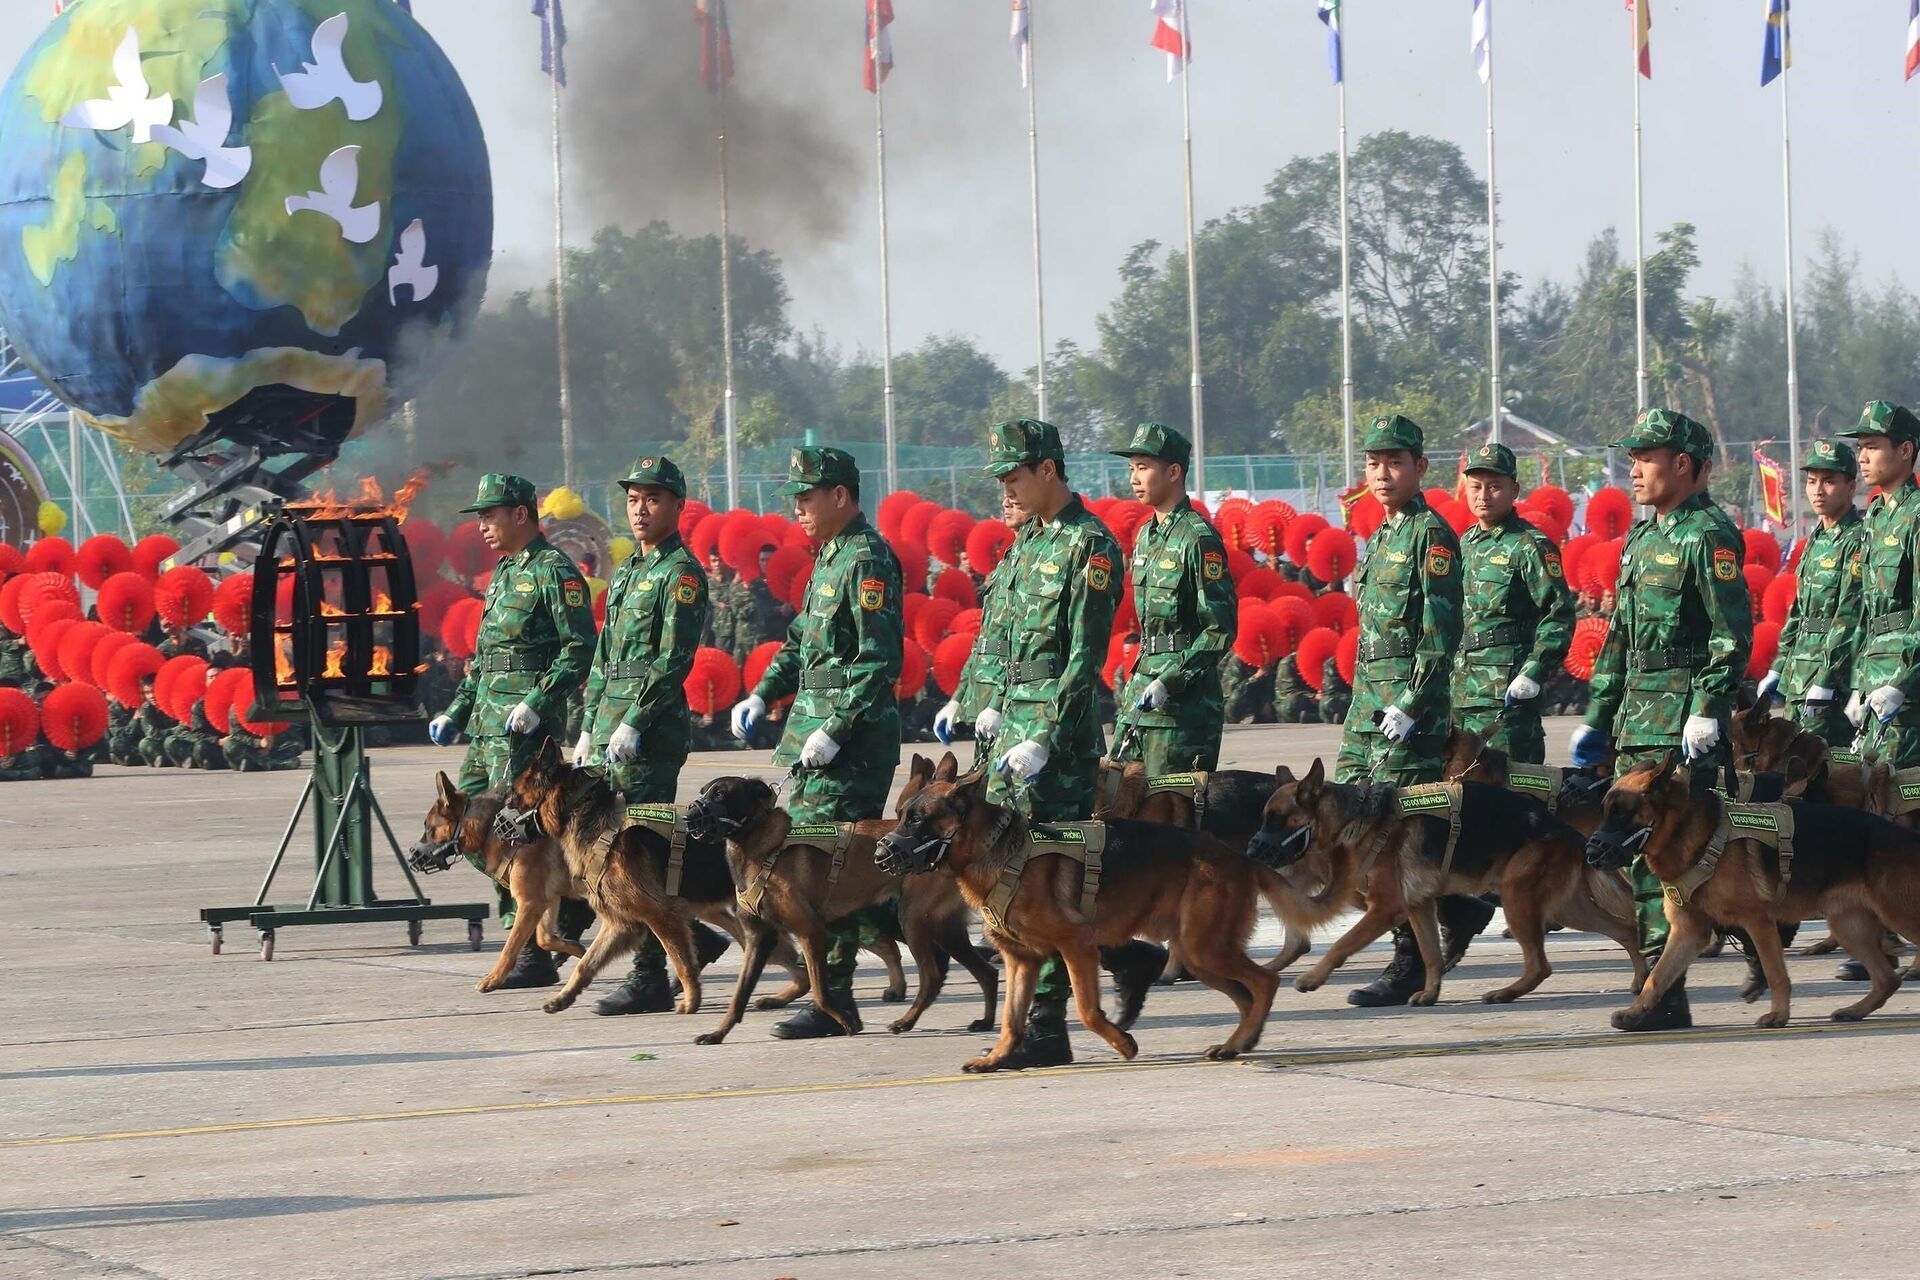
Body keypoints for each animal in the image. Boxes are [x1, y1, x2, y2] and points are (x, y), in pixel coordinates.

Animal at [405, 771, 583, 990]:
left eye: (430, 829)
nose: (410, 858)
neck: (490, 827)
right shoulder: (547, 899)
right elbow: (545, 939)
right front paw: (579, 951)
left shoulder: (530, 903)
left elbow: (510, 947)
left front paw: (493, 979)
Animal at [683, 767, 998, 1043]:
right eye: (704, 792)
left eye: (721, 794)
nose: (688, 817)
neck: (764, 850)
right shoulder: (758, 939)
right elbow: (739, 995)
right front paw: (717, 1034)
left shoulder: (811, 932)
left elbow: (821, 990)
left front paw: (844, 1021)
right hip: (944, 929)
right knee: (985, 972)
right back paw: (984, 1021)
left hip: (913, 920)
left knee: (932, 977)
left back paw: (906, 1020)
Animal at [875, 771, 1274, 1074]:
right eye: (899, 814)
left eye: (916, 819)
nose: (880, 855)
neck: (995, 850)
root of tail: (1240, 858)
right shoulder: (1021, 961)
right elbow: (1011, 1019)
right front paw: (998, 1058)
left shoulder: (1076, 946)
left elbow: (1086, 1010)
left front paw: (1123, 1044)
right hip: (1199, 955)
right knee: (1245, 995)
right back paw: (1239, 1043)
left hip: (1204, 949)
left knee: (1263, 982)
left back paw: (1241, 1038)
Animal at [1251, 756, 1643, 1005]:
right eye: (1263, 817)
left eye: (1277, 819)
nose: (1252, 849)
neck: (1355, 818)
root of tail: (1569, 833)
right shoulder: (1418, 906)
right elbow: (1430, 954)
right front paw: (1431, 993)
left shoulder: (1385, 909)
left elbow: (1341, 944)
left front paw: (1313, 979)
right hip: (1567, 908)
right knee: (1625, 930)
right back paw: (1640, 981)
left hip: (1518, 899)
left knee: (1540, 965)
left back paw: (1505, 993)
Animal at [1589, 756, 1920, 1028]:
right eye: (1604, 812)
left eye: (1622, 814)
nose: (1591, 853)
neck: (1694, 835)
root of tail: (1907, 837)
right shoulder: (1688, 931)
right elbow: (1657, 977)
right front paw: (1636, 1012)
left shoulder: (1758, 922)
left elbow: (1775, 973)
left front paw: (1778, 1015)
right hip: (1849, 927)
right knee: (1886, 979)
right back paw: (1855, 1010)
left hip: (1896, 916)